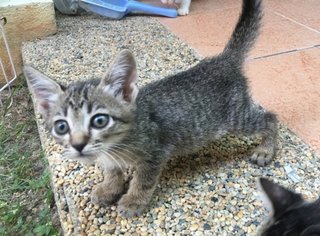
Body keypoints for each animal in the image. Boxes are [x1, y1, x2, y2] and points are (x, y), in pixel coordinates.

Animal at [24, 0, 278, 218]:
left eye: (99, 121)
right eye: (61, 127)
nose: (78, 145)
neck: (118, 143)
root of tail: (222, 60)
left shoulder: (156, 152)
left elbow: (143, 180)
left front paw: (133, 200)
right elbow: (111, 170)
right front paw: (108, 188)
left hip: (236, 119)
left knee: (270, 118)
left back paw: (266, 150)